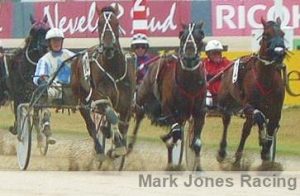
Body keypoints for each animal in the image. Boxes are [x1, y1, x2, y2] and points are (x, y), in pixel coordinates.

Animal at [70, 4, 135, 161]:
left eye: (116, 23)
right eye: (99, 24)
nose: (108, 48)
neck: (113, 68)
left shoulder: (127, 101)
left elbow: (123, 124)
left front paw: (117, 147)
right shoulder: (99, 95)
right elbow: (111, 115)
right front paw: (117, 144)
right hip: (81, 99)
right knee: (90, 124)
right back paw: (99, 150)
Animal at [130, 21, 207, 168]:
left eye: (200, 35)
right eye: (182, 35)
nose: (189, 55)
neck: (189, 83)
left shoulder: (199, 112)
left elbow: (196, 142)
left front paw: (199, 168)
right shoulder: (168, 109)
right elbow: (175, 134)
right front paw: (168, 141)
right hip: (142, 100)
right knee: (136, 119)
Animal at [217, 18, 288, 165]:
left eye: (283, 34)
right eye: (266, 35)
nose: (279, 53)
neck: (266, 79)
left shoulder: (276, 110)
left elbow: (271, 127)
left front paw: (266, 151)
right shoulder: (249, 106)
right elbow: (251, 124)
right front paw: (238, 157)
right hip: (225, 103)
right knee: (227, 122)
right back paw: (222, 151)